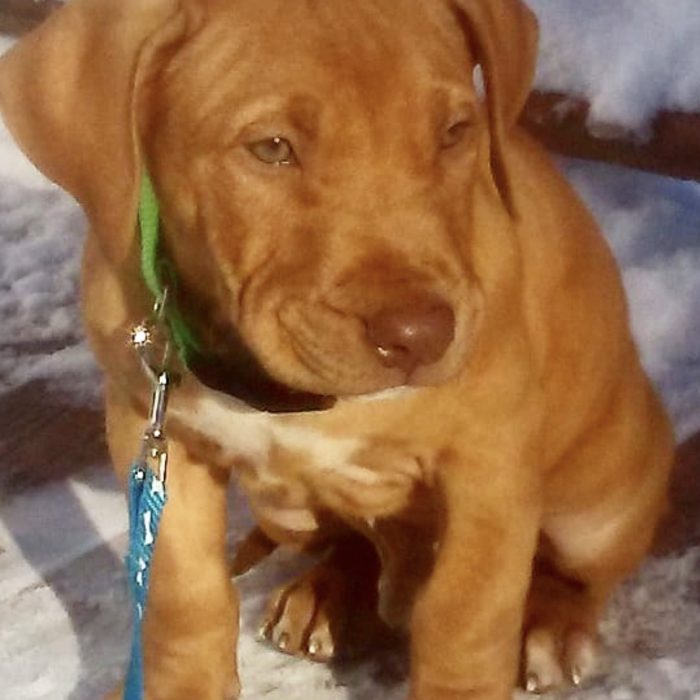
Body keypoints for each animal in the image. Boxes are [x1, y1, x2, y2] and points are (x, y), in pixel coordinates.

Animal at [0, 1, 676, 700]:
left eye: (455, 132)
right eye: (272, 148)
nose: (420, 336)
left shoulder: (491, 460)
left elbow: (466, 613)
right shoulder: (155, 432)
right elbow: (182, 596)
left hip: (596, 504)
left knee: (577, 571)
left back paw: (551, 623)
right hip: (285, 506)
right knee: (352, 543)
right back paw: (324, 595)